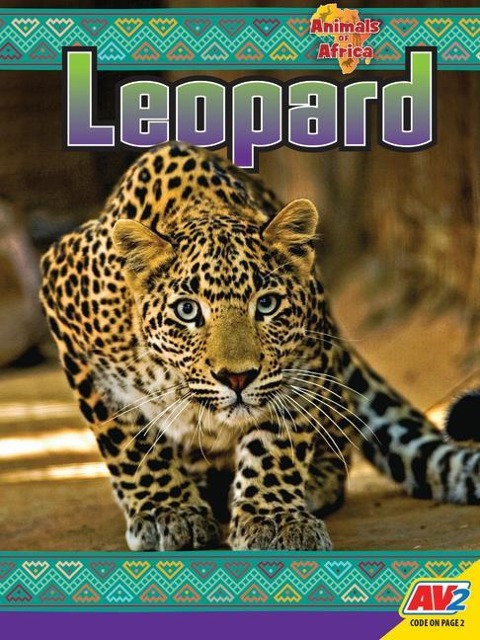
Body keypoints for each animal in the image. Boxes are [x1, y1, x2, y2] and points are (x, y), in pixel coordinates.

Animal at [40, 141, 480, 551]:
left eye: (266, 304)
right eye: (187, 310)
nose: (238, 378)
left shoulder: (304, 361)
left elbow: (276, 444)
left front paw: (273, 519)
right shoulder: (67, 313)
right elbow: (128, 440)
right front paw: (167, 511)